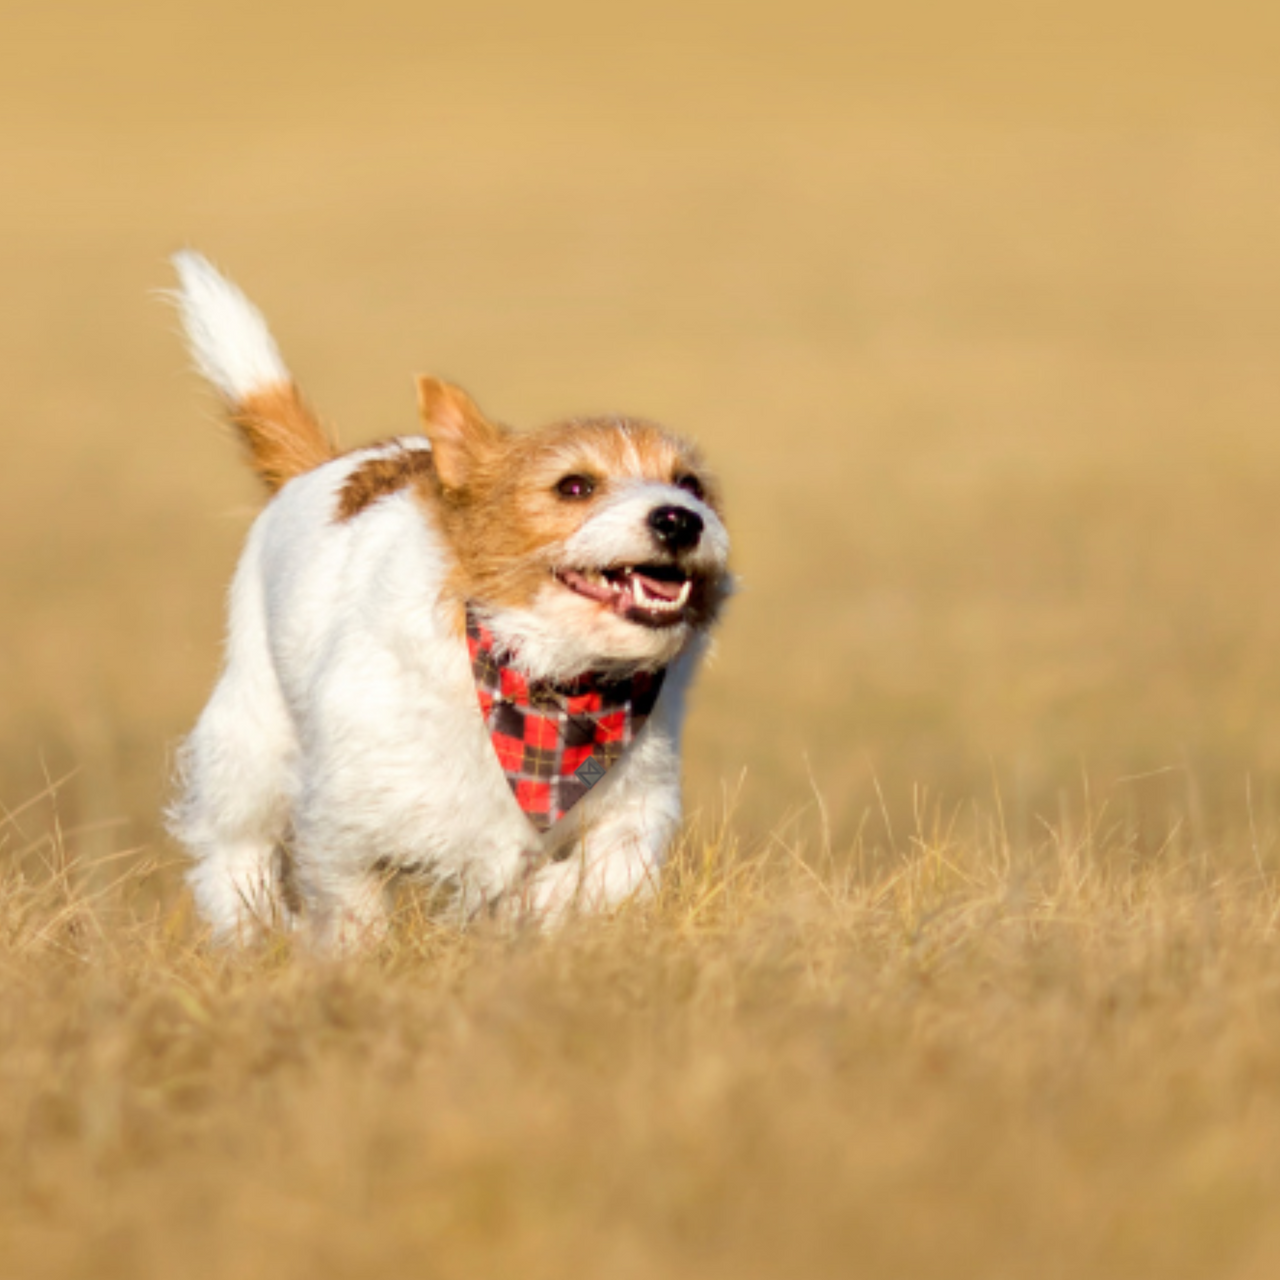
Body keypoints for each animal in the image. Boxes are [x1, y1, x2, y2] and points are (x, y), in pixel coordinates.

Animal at [166, 252, 737, 952]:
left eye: (691, 484)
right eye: (574, 485)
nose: (681, 519)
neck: (548, 683)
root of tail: (323, 464)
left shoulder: (637, 801)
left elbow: (609, 874)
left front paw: (541, 904)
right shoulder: (342, 816)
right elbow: (352, 907)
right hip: (250, 736)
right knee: (232, 848)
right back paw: (251, 929)